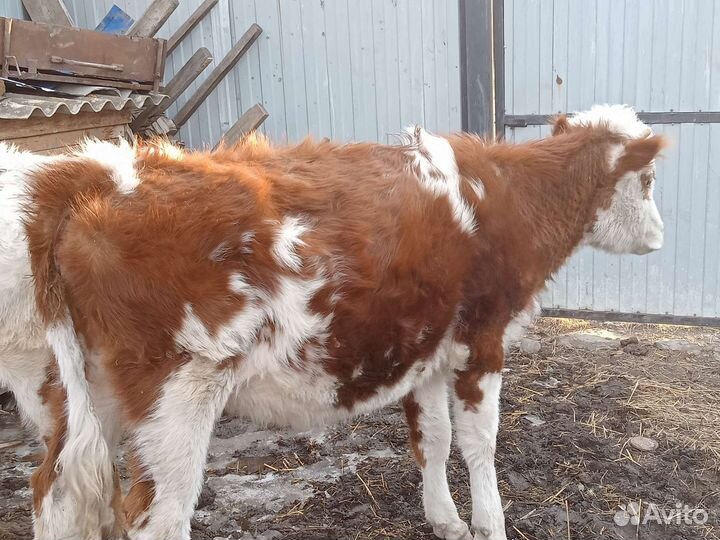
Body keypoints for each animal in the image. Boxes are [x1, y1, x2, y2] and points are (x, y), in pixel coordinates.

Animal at [0, 104, 665, 540]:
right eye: (650, 180)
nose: (660, 237)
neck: (506, 196)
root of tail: (94, 172)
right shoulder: (484, 340)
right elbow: (480, 443)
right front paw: (489, 523)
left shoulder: (427, 348)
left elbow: (433, 440)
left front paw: (445, 520)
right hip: (175, 395)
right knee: (154, 515)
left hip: (80, 392)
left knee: (55, 491)